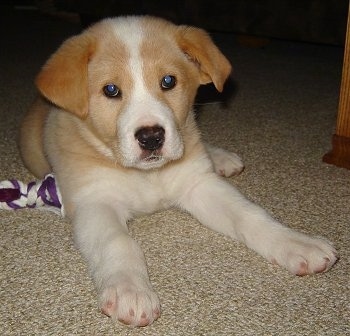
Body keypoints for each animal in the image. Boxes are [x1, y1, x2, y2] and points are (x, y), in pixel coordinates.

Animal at [18, 15, 336, 326]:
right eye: (110, 90)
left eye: (168, 81)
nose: (151, 137)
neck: (148, 175)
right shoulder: (94, 202)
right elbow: (118, 242)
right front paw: (130, 290)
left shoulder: (199, 184)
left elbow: (250, 215)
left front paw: (297, 243)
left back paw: (221, 158)